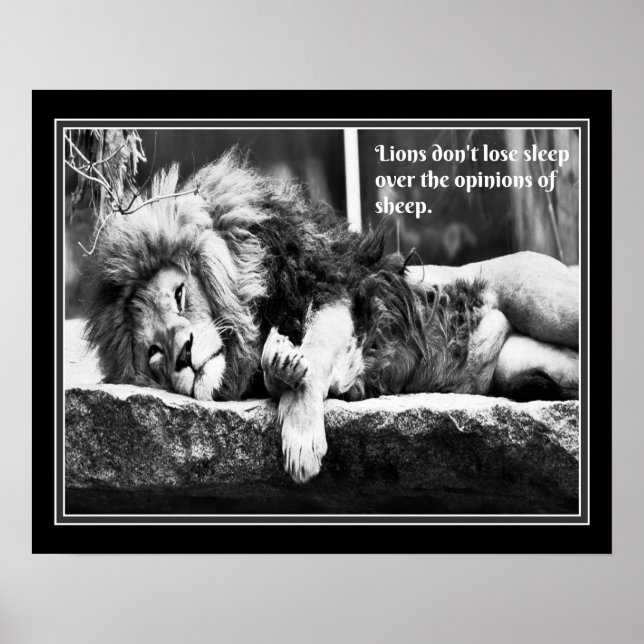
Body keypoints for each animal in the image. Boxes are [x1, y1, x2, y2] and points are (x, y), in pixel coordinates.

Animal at [84, 150, 579, 483]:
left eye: (181, 294)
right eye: (154, 353)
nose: (184, 356)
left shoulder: (334, 290)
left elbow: (317, 354)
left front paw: (301, 437)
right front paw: (282, 363)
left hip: (549, 302)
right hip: (525, 366)